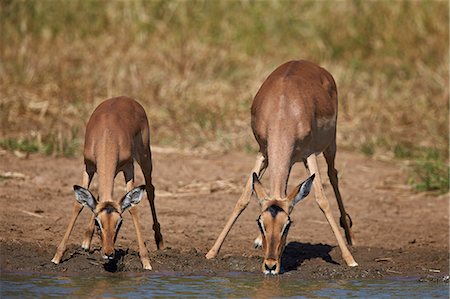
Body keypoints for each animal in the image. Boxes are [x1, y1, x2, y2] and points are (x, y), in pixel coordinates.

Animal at [51, 97, 163, 270]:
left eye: (120, 223)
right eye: (99, 223)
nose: (108, 252)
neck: (107, 135)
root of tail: (126, 98)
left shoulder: (128, 167)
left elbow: (133, 208)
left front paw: (146, 261)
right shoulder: (88, 166)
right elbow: (79, 204)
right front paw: (57, 256)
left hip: (145, 155)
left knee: (150, 189)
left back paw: (159, 241)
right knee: (98, 196)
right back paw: (86, 241)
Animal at [208, 59, 358, 276]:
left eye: (288, 224)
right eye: (260, 223)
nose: (270, 266)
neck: (283, 111)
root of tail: (311, 64)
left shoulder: (309, 155)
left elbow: (322, 200)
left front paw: (350, 260)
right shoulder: (263, 152)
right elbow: (243, 198)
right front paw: (211, 252)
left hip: (330, 145)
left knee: (333, 174)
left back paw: (350, 237)